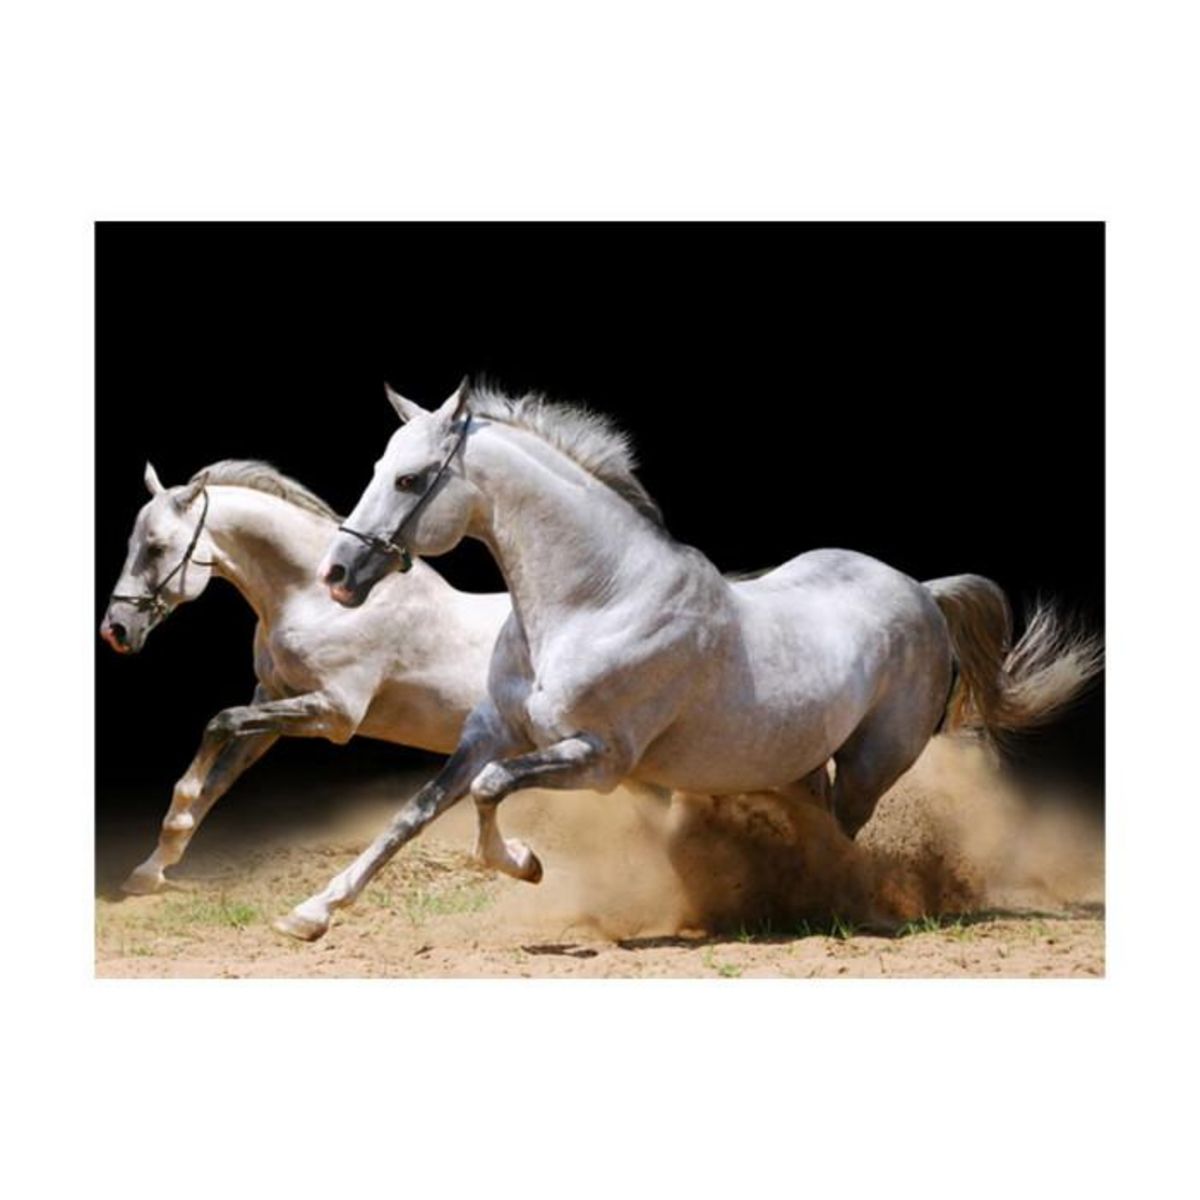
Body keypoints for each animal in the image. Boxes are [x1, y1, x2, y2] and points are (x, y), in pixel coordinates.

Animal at [100, 458, 509, 894]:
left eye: (157, 547)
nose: (115, 630)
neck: (318, 602)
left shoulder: (335, 714)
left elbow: (220, 723)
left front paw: (175, 817)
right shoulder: (272, 699)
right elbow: (220, 777)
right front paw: (151, 869)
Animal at [275, 380, 1102, 941]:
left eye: (410, 479)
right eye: (379, 465)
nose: (338, 575)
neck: (596, 599)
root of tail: (922, 592)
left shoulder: (599, 758)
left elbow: (488, 791)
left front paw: (527, 863)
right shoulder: (490, 732)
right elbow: (414, 813)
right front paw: (310, 913)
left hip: (873, 763)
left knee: (844, 834)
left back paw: (836, 906)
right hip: (798, 761)